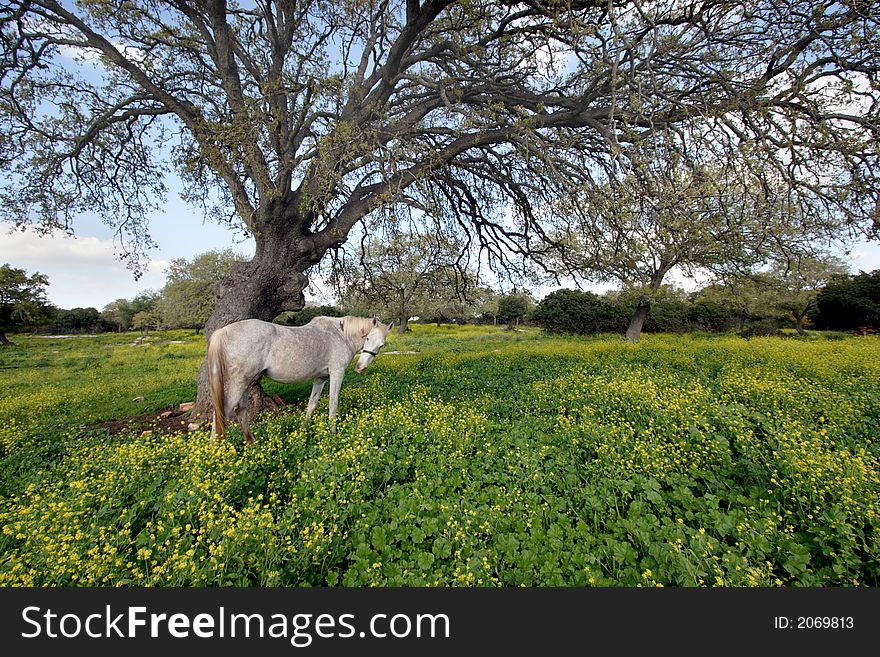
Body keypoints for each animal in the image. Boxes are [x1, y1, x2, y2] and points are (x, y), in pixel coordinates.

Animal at [206, 318, 392, 440]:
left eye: (381, 345)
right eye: (367, 338)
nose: (360, 368)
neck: (341, 335)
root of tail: (223, 331)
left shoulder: (321, 378)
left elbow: (311, 404)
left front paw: (303, 430)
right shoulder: (337, 373)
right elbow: (333, 404)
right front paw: (333, 433)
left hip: (246, 383)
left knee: (241, 412)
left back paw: (252, 444)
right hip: (237, 384)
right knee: (221, 415)